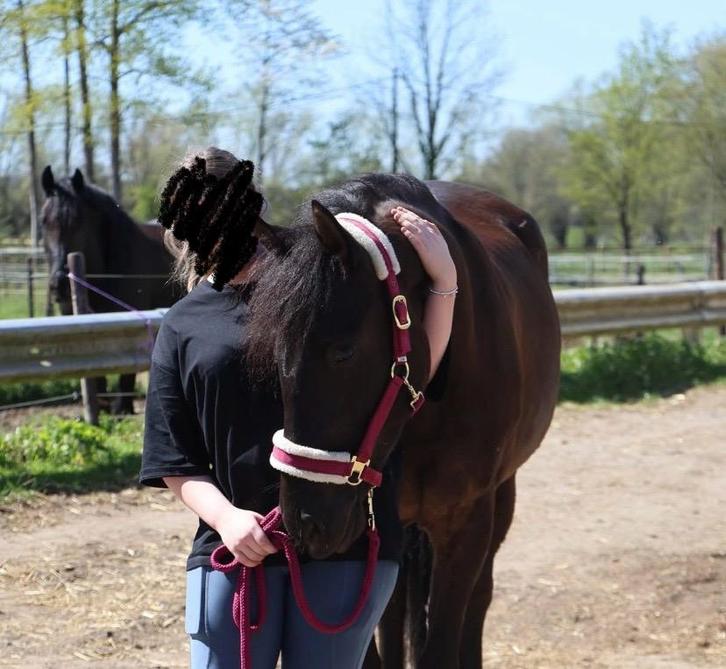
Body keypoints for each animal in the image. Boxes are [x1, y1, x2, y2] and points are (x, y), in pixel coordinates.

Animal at [245, 173, 561, 668]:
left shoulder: (466, 525)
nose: (304, 523)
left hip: (502, 494)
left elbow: (443, 642)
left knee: (480, 599)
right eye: (275, 349)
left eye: (343, 351)